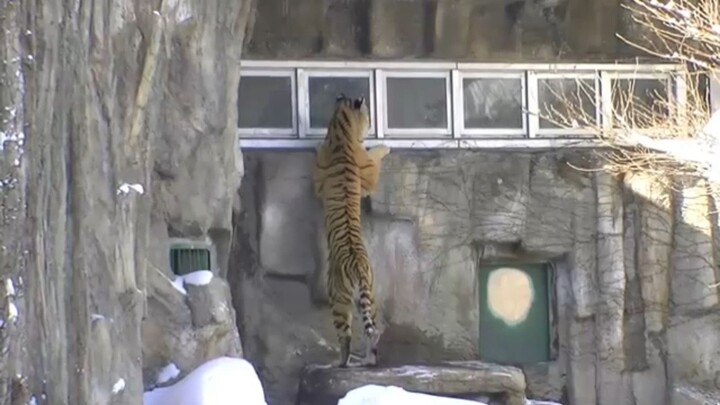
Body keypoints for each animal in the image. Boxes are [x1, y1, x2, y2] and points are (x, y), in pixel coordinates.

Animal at [312, 94, 391, 368]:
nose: (372, 125)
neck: (342, 127)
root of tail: (357, 263)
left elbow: (374, 155)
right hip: (369, 297)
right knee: (372, 332)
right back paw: (368, 360)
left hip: (338, 299)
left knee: (345, 338)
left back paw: (341, 363)